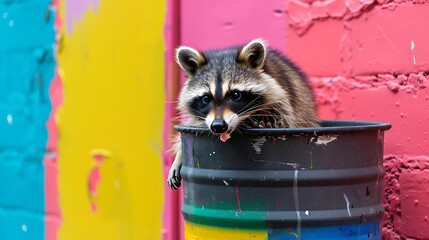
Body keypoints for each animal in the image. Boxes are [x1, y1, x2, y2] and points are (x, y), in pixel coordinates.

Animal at [167, 39, 318, 189]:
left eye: (235, 95)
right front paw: (179, 154)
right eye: (206, 98)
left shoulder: (284, 102)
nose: (218, 126)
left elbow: (281, 121)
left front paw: (262, 122)